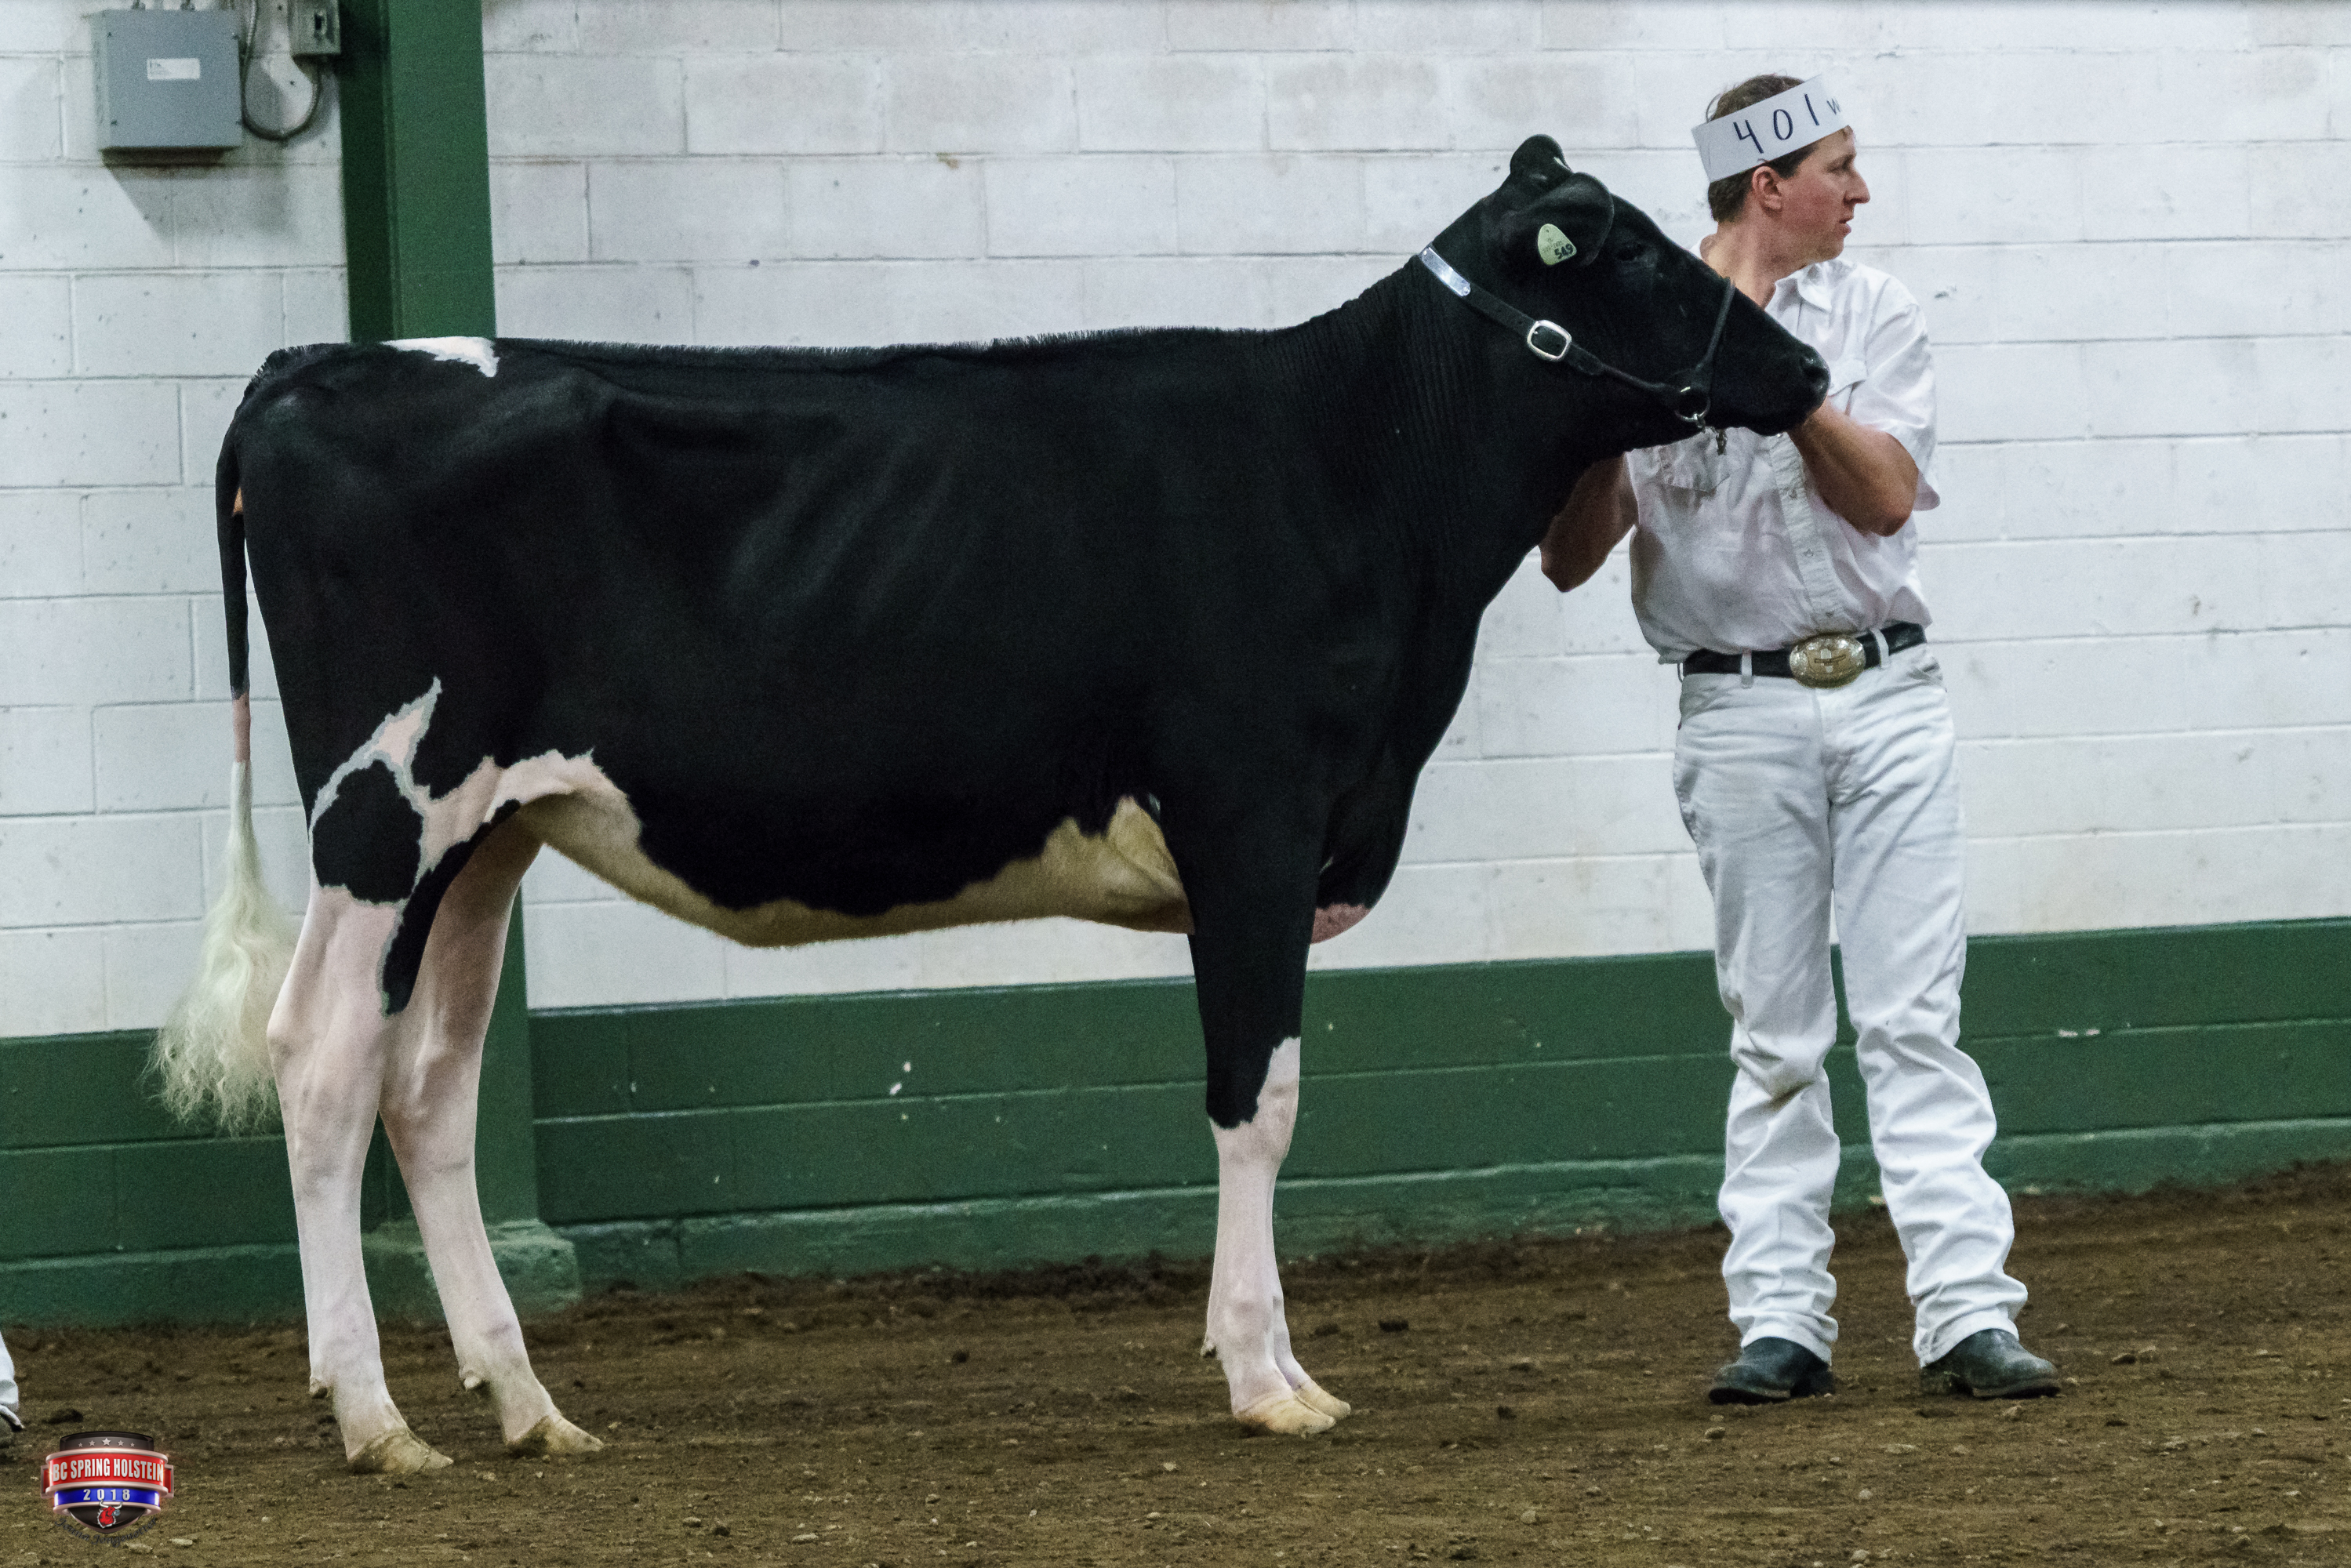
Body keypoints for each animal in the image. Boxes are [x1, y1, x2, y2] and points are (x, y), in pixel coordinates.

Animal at [153, 137, 1827, 1473]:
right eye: (1634, 250)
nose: (1808, 374)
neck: (1360, 470)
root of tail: (317, 362)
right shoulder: (1255, 820)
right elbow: (1259, 1099)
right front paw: (1267, 1374)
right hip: (385, 810)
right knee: (320, 1062)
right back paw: (375, 1417)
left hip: (487, 835)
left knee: (428, 1087)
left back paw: (526, 1405)